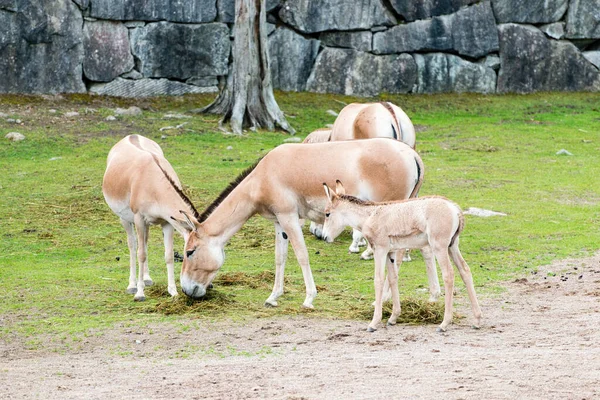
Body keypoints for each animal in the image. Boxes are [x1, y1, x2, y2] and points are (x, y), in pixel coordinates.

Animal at [324, 181, 482, 332]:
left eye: (327, 214)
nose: (324, 237)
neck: (370, 216)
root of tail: (454, 208)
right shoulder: (390, 253)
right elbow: (393, 278)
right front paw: (393, 317)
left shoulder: (380, 250)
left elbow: (378, 280)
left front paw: (374, 323)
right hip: (452, 246)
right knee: (465, 271)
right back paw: (477, 320)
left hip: (440, 247)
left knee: (448, 274)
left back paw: (444, 324)